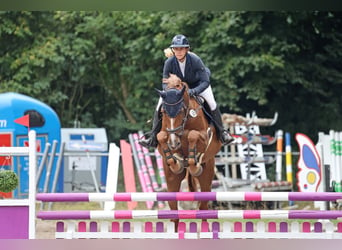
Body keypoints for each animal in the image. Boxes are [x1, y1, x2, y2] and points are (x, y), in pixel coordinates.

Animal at [157, 73, 222, 229]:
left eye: (180, 110)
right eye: (163, 112)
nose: (173, 143)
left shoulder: (205, 137)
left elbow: (192, 135)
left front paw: (193, 162)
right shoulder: (164, 134)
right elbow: (160, 136)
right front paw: (174, 161)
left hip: (207, 176)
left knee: (203, 207)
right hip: (171, 181)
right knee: (174, 212)